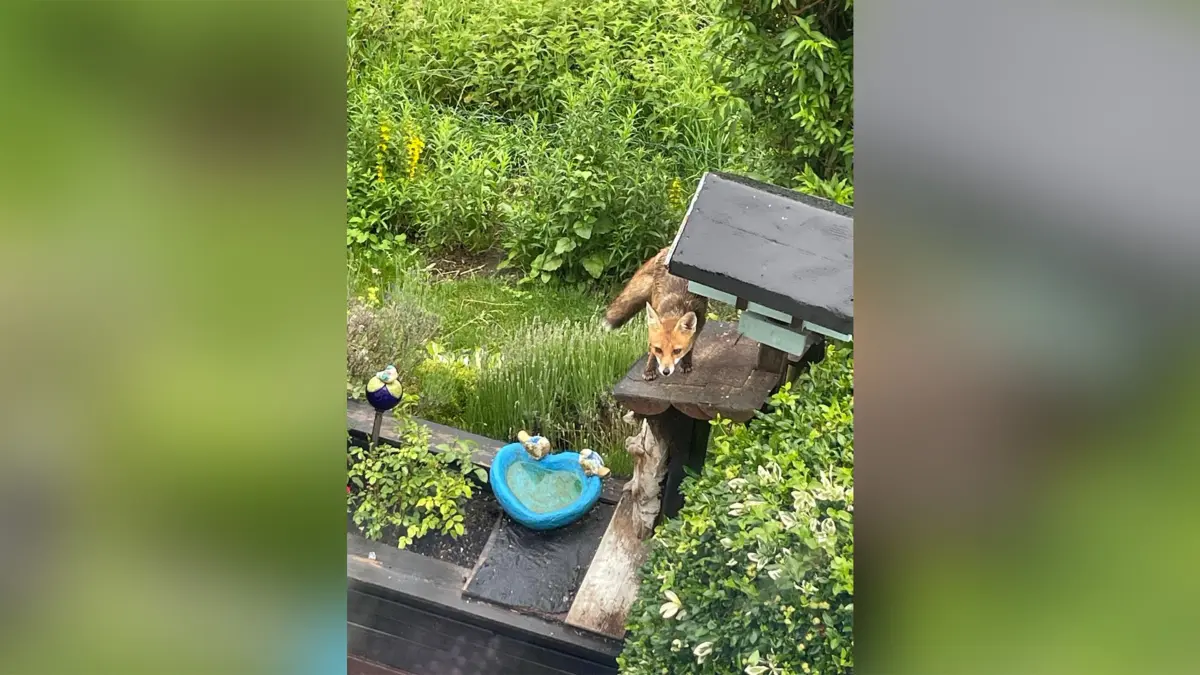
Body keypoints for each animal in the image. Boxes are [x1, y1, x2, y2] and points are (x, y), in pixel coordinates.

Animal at [602, 247, 707, 380]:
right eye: (659, 349)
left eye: (677, 351)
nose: (666, 371)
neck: (676, 308)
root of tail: (666, 248)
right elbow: (652, 352)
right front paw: (649, 369)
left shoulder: (699, 325)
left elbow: (690, 347)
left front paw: (686, 363)